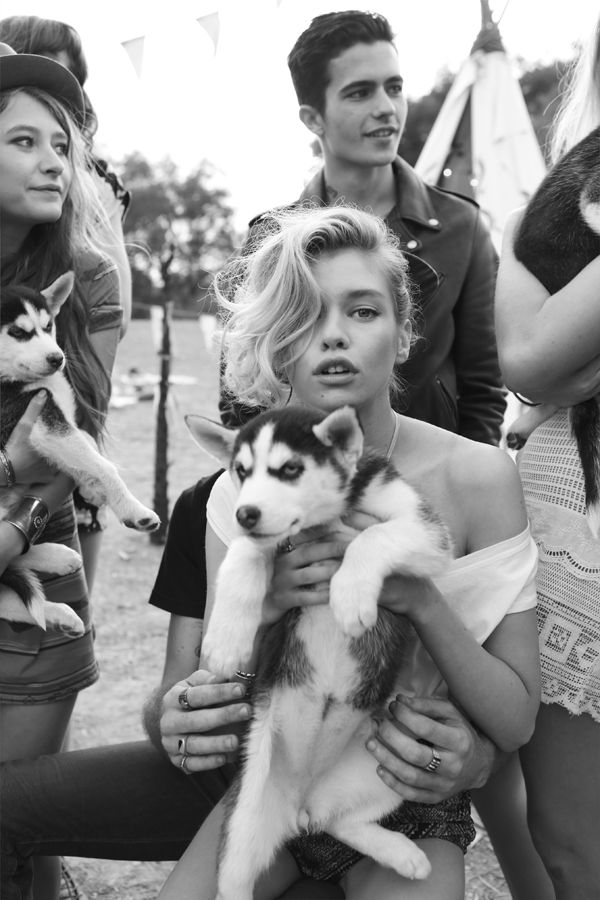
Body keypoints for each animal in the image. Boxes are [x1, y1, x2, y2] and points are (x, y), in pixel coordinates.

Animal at [0, 270, 161, 628]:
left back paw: (58, 586)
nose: (57, 358)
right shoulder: (44, 425)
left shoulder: (56, 425)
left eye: (48, 326)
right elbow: (105, 465)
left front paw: (91, 488)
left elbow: (87, 446)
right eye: (17, 332)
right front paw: (134, 509)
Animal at [186, 406, 450, 900]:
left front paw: (350, 594)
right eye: (241, 471)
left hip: (392, 766)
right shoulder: (262, 539)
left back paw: (401, 853)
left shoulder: (425, 529)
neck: (320, 521)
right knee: (236, 879)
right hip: (246, 814)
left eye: (290, 469)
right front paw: (228, 638)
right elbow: (244, 554)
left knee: (341, 822)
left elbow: (374, 537)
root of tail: (300, 805)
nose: (245, 513)